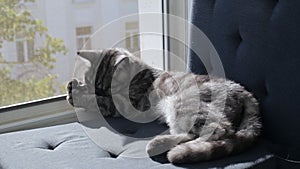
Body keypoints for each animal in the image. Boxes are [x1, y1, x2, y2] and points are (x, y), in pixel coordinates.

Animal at [67, 48, 262, 164]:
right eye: (92, 83)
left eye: (106, 88)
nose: (98, 90)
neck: (142, 73)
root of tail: (244, 91)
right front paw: (74, 87)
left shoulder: (128, 105)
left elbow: (102, 103)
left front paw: (78, 95)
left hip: (185, 104)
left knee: (220, 130)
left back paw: (161, 146)